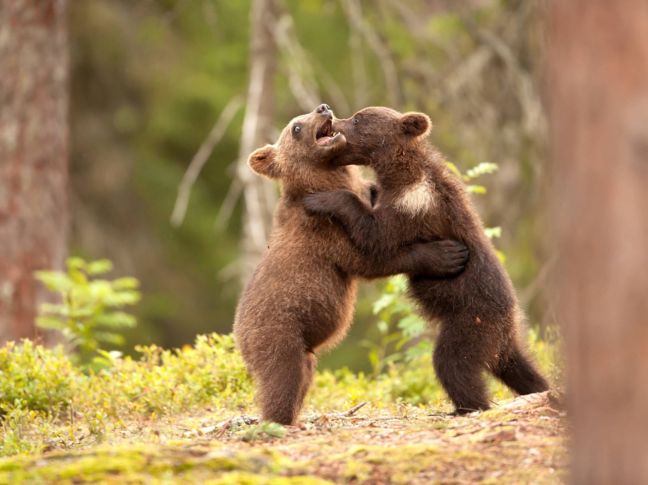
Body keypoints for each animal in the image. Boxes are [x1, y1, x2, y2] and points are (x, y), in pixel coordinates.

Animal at [235, 105, 468, 424]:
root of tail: (237, 337)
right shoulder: (325, 232)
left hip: (302, 347)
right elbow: (371, 257)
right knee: (282, 376)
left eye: (306, 116)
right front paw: (445, 255)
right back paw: (278, 420)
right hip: (277, 331)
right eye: (296, 127)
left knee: (304, 373)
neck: (325, 180)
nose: (322, 108)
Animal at [306, 107, 548, 412]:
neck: (399, 172)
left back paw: (468, 406)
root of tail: (508, 318)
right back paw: (540, 388)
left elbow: (376, 237)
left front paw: (322, 199)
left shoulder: (414, 204)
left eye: (358, 118)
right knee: (519, 366)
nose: (331, 116)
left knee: (453, 361)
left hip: (472, 319)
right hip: (502, 338)